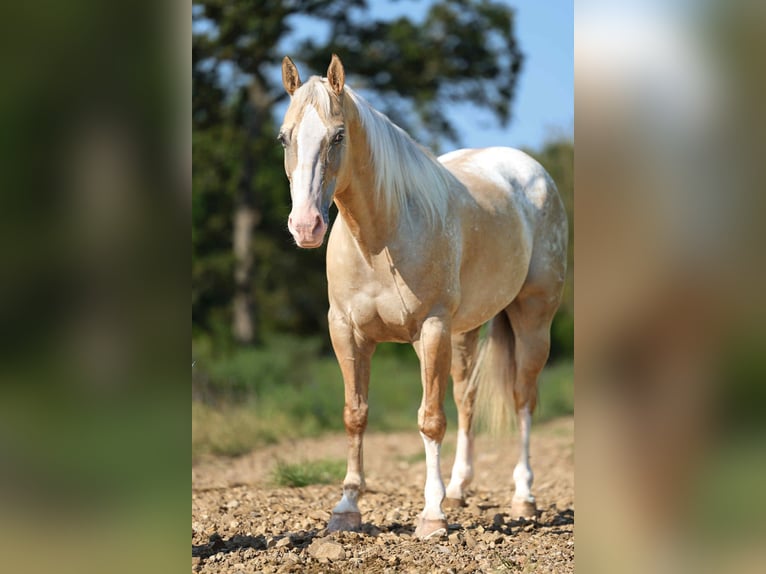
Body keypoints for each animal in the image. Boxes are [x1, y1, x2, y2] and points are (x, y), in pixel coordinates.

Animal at [278, 55, 568, 540]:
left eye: (338, 135)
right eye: (285, 137)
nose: (306, 226)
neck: (381, 239)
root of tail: (534, 172)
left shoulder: (430, 330)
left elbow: (430, 420)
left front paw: (431, 517)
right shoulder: (347, 332)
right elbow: (355, 413)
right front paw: (346, 509)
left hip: (533, 319)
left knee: (523, 399)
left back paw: (523, 498)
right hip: (466, 331)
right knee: (468, 399)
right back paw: (459, 489)